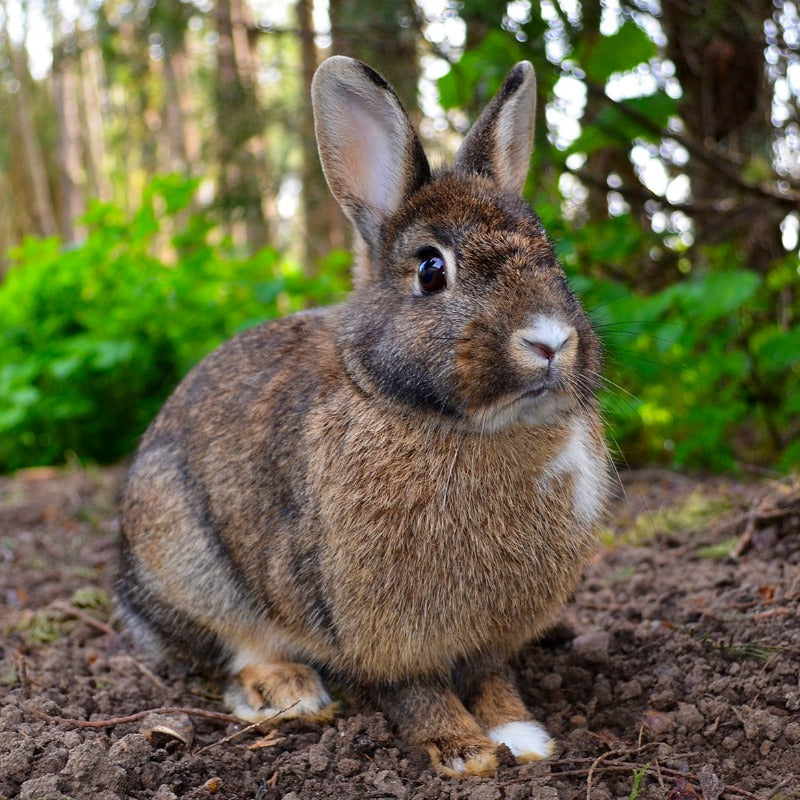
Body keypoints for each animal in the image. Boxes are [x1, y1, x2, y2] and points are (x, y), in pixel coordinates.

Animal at [115, 54, 608, 776]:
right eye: (431, 270)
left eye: (553, 259)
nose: (549, 340)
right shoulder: (378, 627)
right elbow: (415, 688)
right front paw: (463, 751)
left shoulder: (492, 637)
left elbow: (492, 678)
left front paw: (521, 735)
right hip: (182, 552)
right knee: (232, 646)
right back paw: (287, 691)